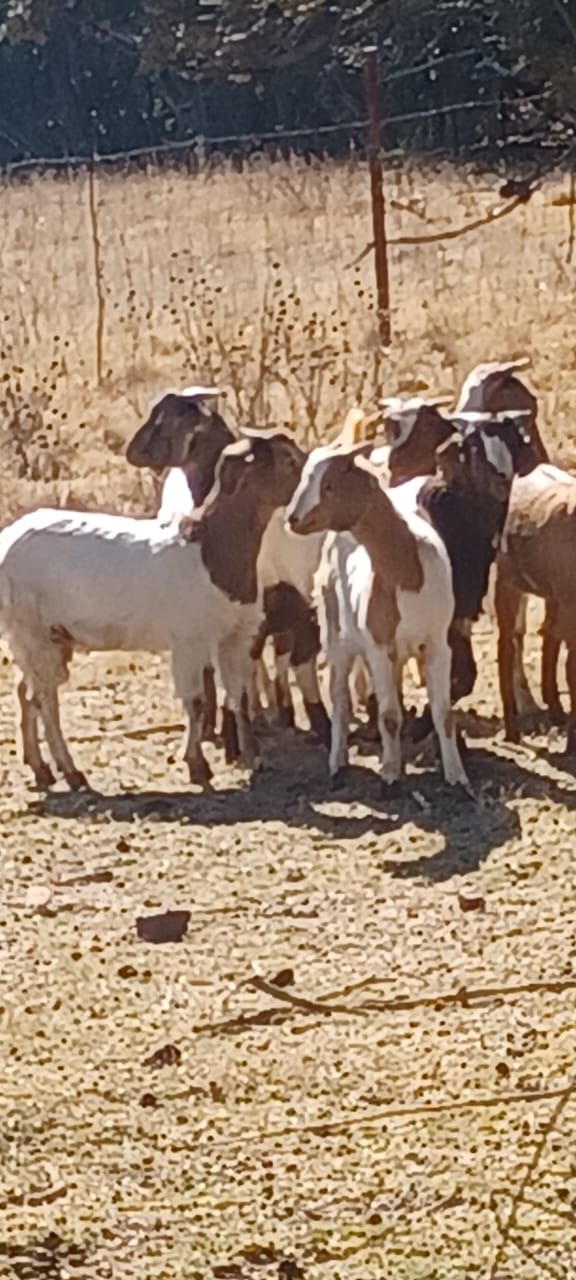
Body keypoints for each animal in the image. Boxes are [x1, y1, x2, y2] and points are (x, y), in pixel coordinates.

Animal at [0, 433, 303, 791]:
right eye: (287, 460)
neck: (211, 551)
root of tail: (7, 539)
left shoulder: (235, 637)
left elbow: (238, 697)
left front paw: (254, 758)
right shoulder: (190, 640)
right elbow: (196, 703)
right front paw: (198, 766)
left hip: (44, 636)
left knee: (27, 691)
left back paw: (40, 768)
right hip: (31, 630)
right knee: (45, 696)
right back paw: (71, 772)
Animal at [286, 442, 470, 791]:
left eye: (329, 486)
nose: (293, 519)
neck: (407, 570)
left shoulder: (438, 643)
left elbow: (444, 713)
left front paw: (457, 777)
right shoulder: (379, 646)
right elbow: (388, 716)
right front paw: (389, 776)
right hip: (336, 633)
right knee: (340, 699)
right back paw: (338, 763)